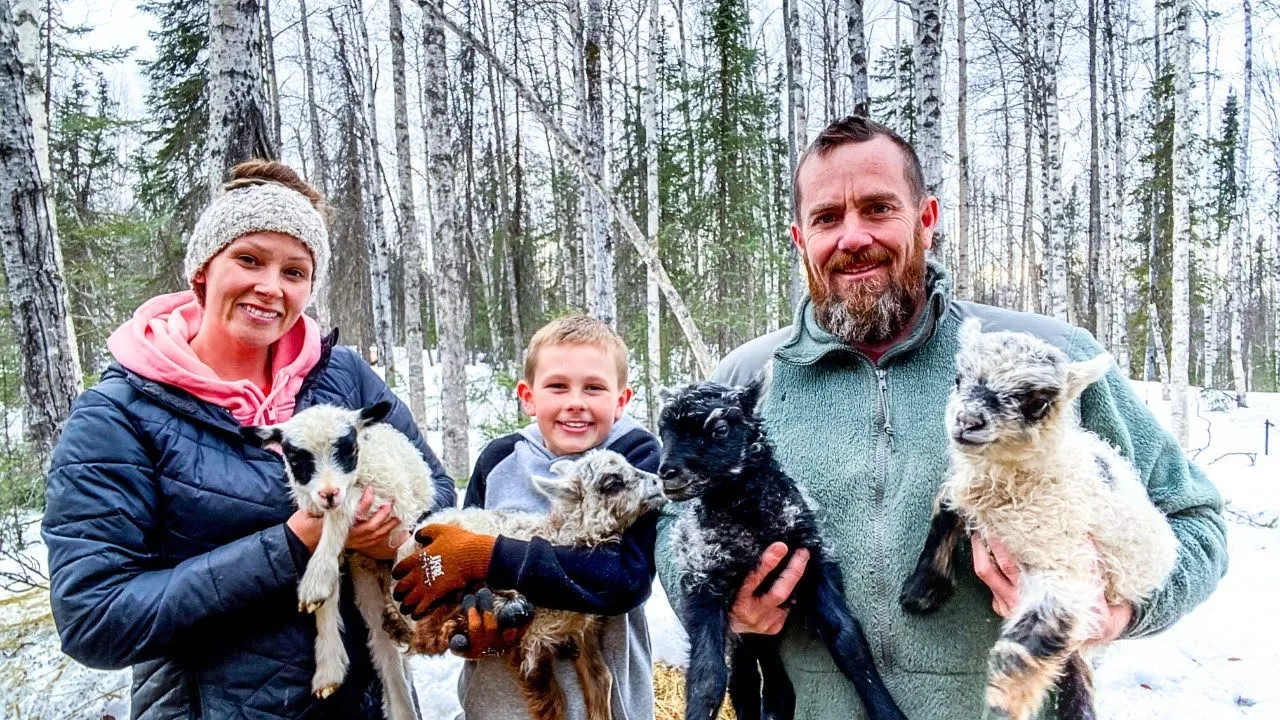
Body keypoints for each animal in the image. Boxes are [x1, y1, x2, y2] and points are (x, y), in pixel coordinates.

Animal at [240, 397, 435, 717]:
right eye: (296, 459)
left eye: (350, 450)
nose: (328, 493)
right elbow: (327, 599)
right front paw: (327, 670)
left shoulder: (386, 502)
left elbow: (341, 512)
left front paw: (314, 580)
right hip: (367, 582)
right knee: (383, 646)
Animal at [409, 448, 670, 717]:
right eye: (612, 483)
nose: (659, 481)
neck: (556, 536)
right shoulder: (533, 643)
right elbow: (554, 704)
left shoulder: (583, 631)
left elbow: (601, 680)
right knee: (425, 635)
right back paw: (501, 609)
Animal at [655, 379, 906, 717]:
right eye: (662, 432)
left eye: (720, 429)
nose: (666, 473)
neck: (750, 521)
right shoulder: (704, 578)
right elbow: (708, 678)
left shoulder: (813, 561)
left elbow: (848, 640)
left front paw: (887, 711)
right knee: (745, 679)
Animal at [901, 317, 1177, 717]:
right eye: (958, 377)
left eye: (1038, 402)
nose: (967, 421)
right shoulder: (966, 487)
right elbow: (947, 506)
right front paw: (921, 589)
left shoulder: (1066, 571)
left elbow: (1023, 648)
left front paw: (1002, 707)